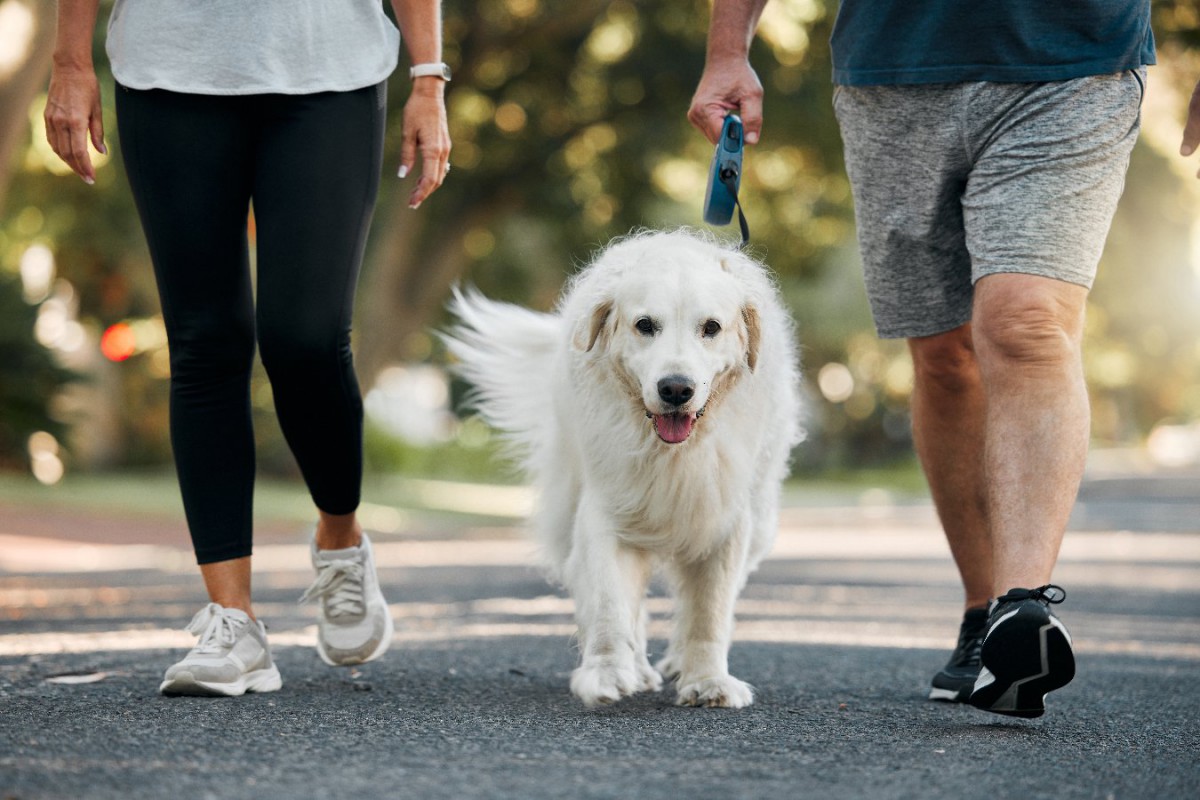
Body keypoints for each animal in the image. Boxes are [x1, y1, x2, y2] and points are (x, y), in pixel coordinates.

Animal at [446, 230, 801, 705]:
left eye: (711, 328)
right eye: (645, 325)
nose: (675, 389)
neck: (672, 453)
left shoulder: (724, 520)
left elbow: (709, 611)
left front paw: (708, 680)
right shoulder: (607, 511)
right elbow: (610, 604)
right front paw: (608, 672)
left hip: (759, 522)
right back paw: (639, 668)